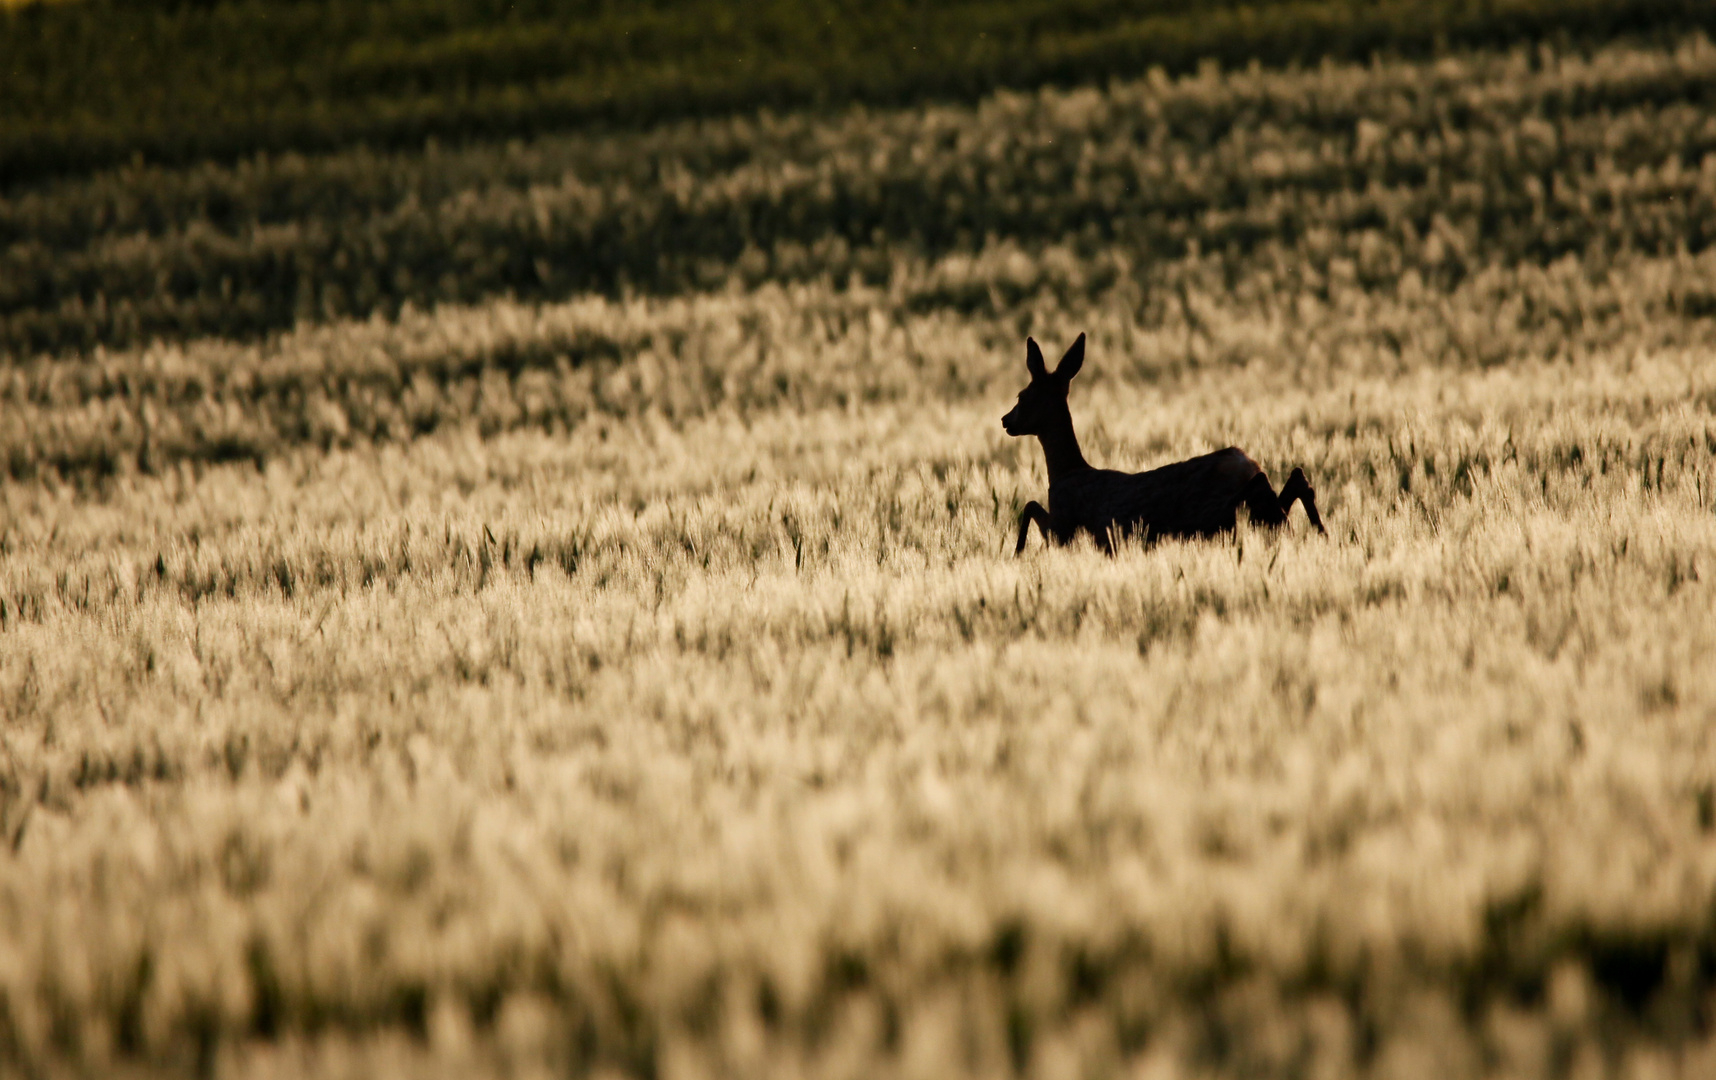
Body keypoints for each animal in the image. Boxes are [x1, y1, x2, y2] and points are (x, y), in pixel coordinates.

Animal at [1002, 333, 1324, 552]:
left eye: (1022, 396)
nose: (1006, 420)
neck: (1066, 471)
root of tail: (1248, 463)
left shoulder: (1063, 525)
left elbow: (1030, 506)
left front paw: (1017, 552)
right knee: (1293, 484)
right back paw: (1322, 535)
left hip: (1213, 515)